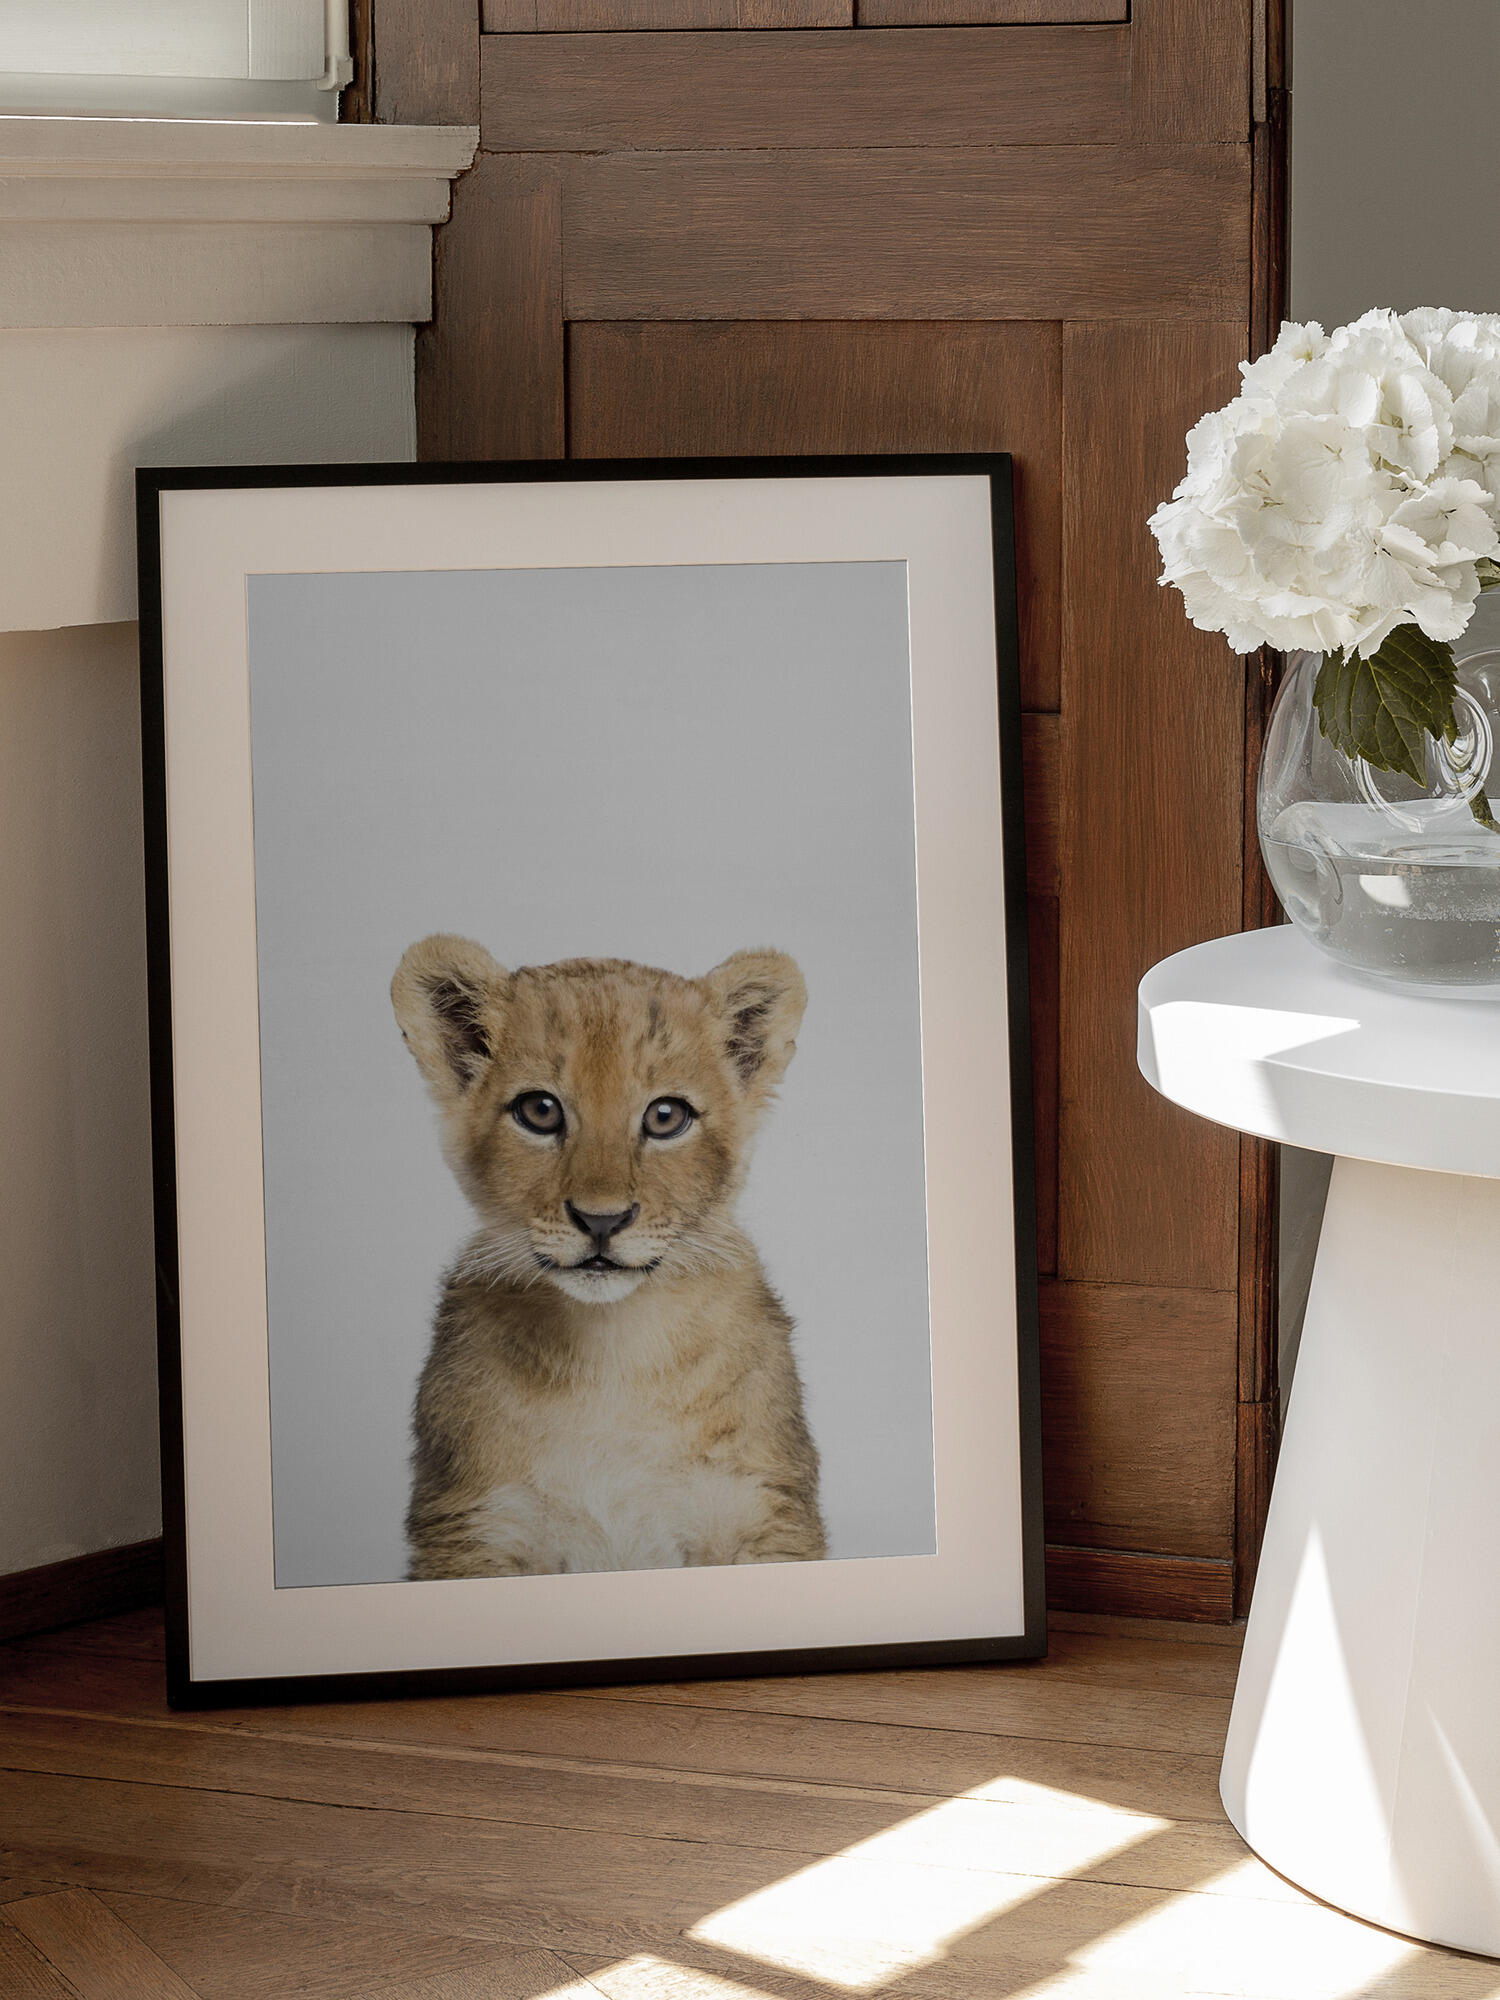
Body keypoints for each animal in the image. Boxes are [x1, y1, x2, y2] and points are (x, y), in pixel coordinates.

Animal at [391, 937, 826, 1579]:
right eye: (540, 1110)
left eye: (666, 1116)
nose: (601, 1220)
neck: (612, 1351)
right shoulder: (475, 1526)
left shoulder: (762, 1511)